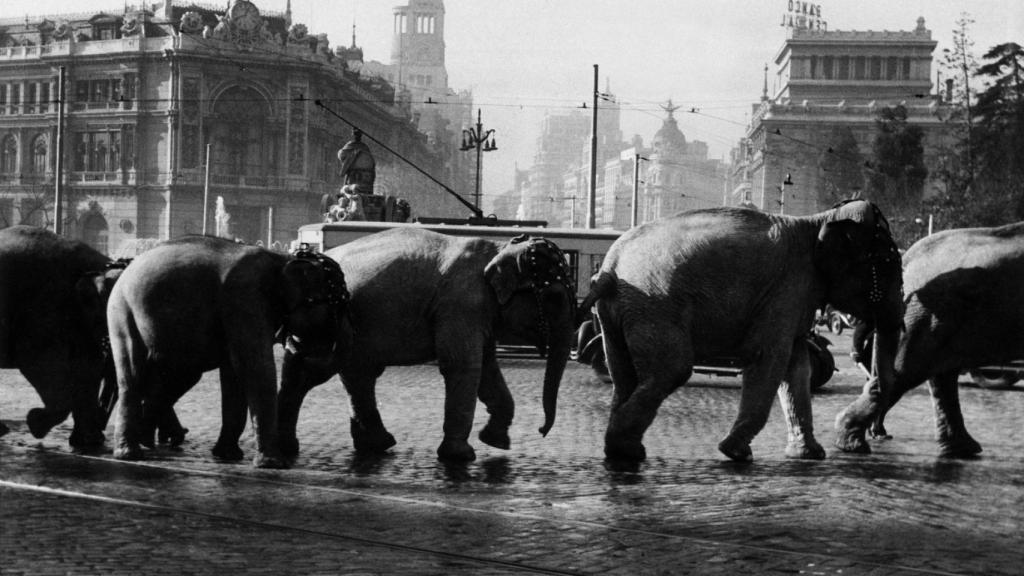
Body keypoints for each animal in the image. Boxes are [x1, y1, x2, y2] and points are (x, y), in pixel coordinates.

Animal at [107, 236, 349, 469]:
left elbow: (234, 374)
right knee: (133, 375)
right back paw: (130, 453)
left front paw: (228, 456)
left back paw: (146, 440)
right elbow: (255, 368)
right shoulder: (245, 299)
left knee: (177, 377)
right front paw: (274, 464)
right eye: (337, 304)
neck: (283, 259)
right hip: (122, 314)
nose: (295, 344)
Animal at [277, 228, 576, 462]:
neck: (499, 247)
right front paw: (462, 456)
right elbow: (463, 365)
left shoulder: (479, 315)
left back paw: (369, 445)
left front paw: (496, 441)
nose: (541, 431)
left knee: (347, 373)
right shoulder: (460, 305)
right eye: (554, 297)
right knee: (325, 371)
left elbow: (487, 368)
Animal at [580, 200, 903, 462]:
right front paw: (736, 453)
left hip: (618, 315)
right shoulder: (787, 290)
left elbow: (797, 368)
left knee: (624, 375)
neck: (820, 219)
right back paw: (627, 451)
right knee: (671, 370)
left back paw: (621, 451)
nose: (861, 444)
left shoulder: (796, 297)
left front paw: (810, 455)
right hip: (654, 307)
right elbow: (770, 359)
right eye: (888, 262)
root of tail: (609, 268)